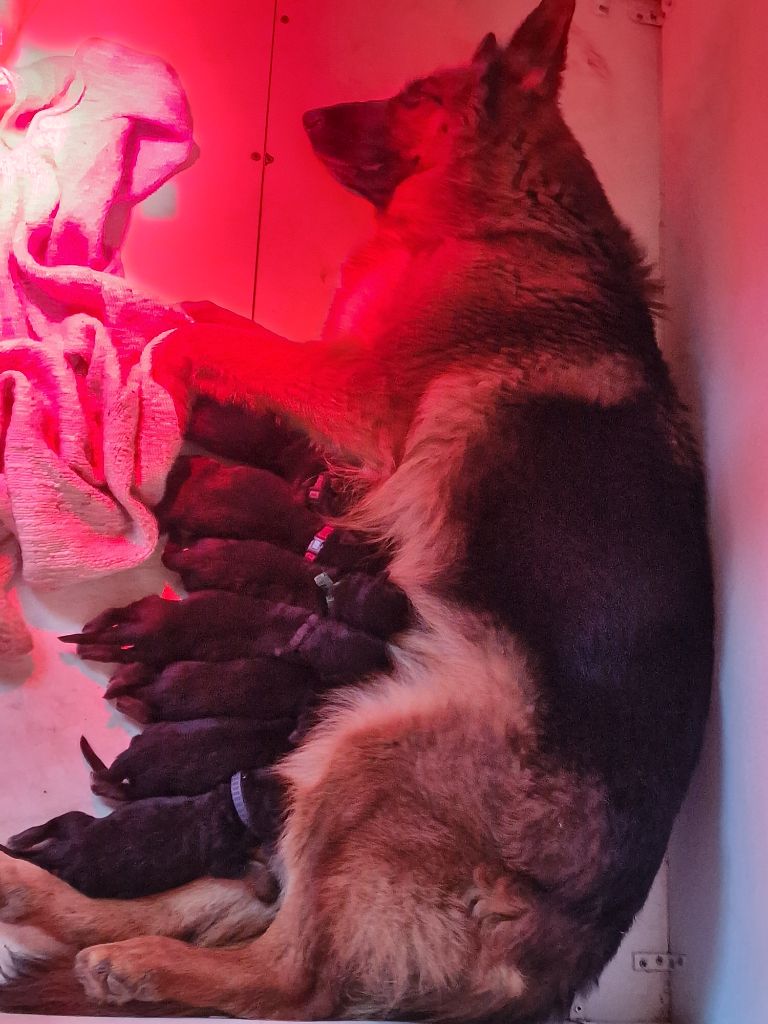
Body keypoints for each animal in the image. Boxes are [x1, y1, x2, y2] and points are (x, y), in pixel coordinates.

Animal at [3, 770, 282, 897]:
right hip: (88, 879)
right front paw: (268, 887)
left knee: (54, 823)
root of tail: (65, 852)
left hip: (78, 823)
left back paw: (19, 838)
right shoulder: (222, 861)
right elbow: (250, 865)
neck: (235, 804)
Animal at [61, 589, 391, 675]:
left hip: (145, 615)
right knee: (112, 643)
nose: (386, 655)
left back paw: (89, 633)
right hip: (151, 636)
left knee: (114, 622)